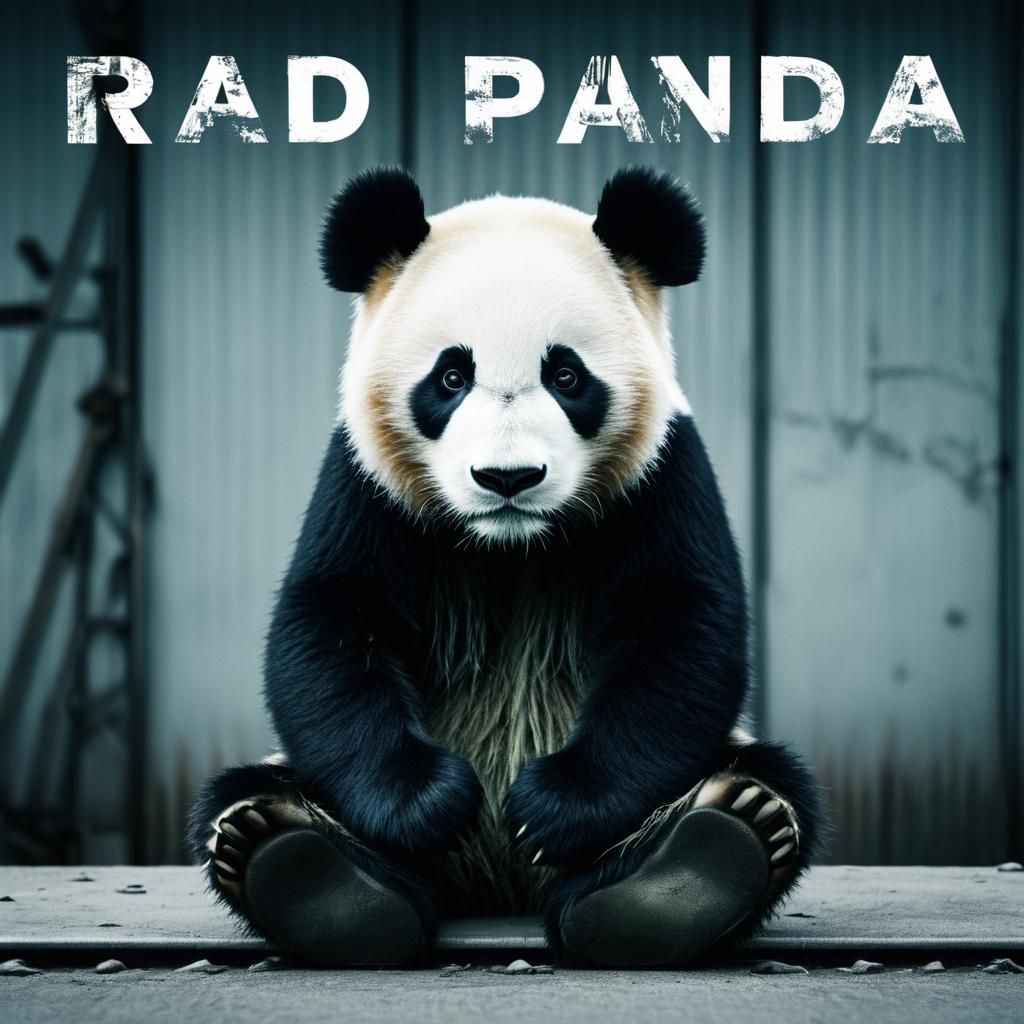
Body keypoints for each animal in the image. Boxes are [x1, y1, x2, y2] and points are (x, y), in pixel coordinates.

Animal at [189, 166, 822, 968]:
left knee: (769, 779)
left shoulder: (661, 474)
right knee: (250, 790)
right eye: (451, 377)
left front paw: (557, 806)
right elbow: (328, 625)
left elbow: (681, 632)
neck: (512, 545)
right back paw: (305, 864)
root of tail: (498, 885)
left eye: (567, 375)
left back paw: (689, 862)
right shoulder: (367, 484)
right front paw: (425, 802)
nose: (507, 477)